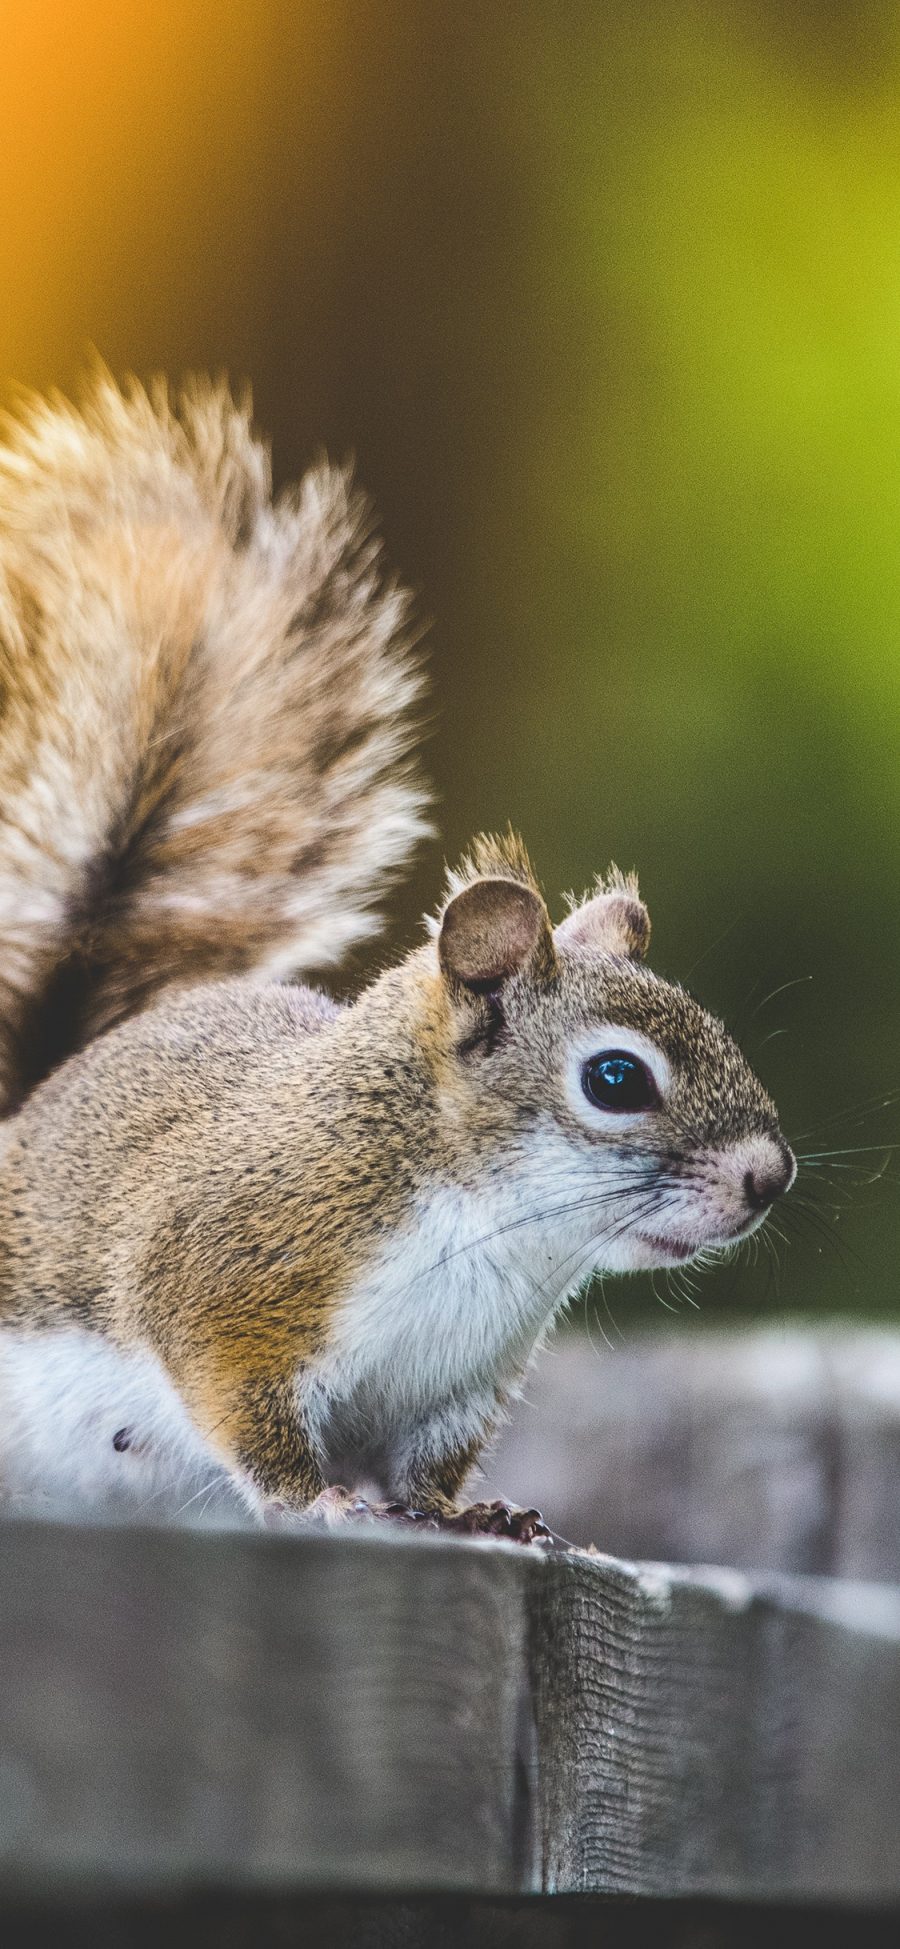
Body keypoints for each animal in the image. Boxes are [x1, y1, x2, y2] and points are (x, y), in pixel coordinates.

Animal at [0, 376, 794, 1535]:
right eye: (616, 1079)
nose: (769, 1177)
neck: (490, 1230)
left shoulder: (457, 1384)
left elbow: (430, 1466)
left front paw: (472, 1515)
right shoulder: (227, 1279)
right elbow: (244, 1409)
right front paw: (319, 1497)